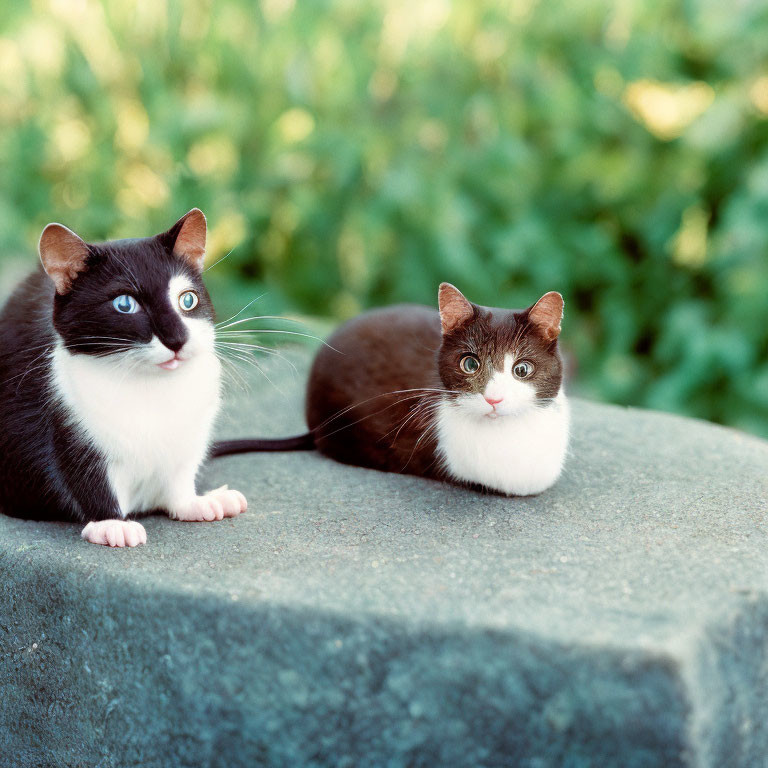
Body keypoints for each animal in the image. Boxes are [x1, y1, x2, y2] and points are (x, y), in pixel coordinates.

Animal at [0, 210, 246, 544]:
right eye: (125, 304)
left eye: (188, 300)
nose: (177, 339)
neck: (150, 389)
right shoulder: (69, 419)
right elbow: (83, 474)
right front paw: (110, 523)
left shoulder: (192, 431)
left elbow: (180, 474)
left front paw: (195, 502)